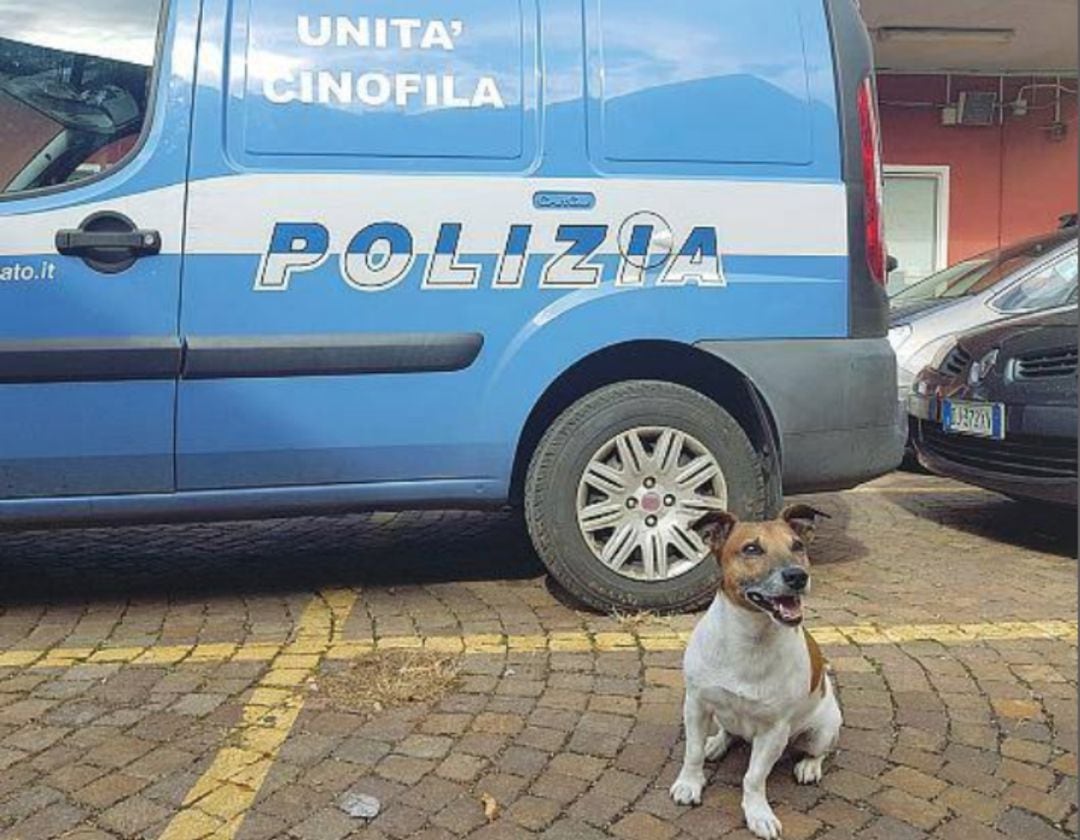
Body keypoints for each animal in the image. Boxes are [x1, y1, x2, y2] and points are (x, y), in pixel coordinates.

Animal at [669, 503, 838, 837]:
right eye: (751, 549)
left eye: (797, 546)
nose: (798, 576)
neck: (750, 638)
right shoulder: (696, 705)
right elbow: (692, 753)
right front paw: (689, 784)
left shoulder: (774, 731)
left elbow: (754, 777)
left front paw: (758, 813)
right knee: (727, 733)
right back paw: (715, 744)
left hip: (823, 730)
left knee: (819, 751)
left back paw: (809, 766)